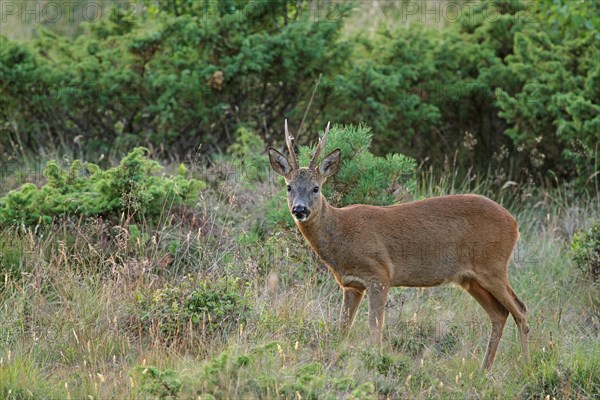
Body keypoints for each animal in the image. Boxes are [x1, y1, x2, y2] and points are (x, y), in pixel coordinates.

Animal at [270, 120, 532, 370]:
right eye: (288, 187)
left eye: (316, 188)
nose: (300, 209)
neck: (342, 234)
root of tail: (514, 222)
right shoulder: (351, 284)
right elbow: (342, 328)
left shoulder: (379, 274)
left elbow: (375, 327)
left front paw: (376, 361)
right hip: (470, 278)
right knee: (500, 313)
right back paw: (484, 370)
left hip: (493, 265)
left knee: (520, 309)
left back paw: (525, 368)